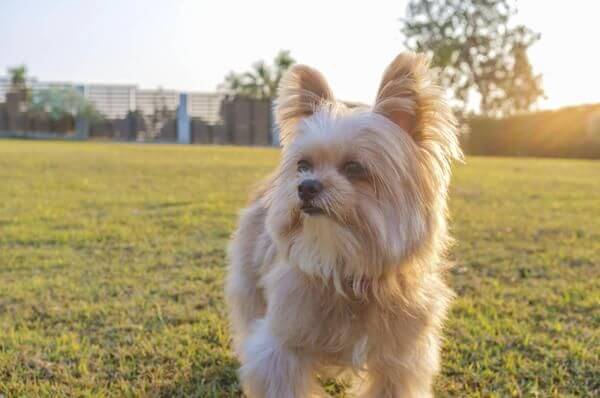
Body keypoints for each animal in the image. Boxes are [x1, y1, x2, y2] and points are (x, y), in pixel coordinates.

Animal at [225, 52, 464, 398]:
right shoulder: (281, 349)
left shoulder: (398, 360)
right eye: (303, 165)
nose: (305, 186)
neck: (347, 271)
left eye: (355, 168)